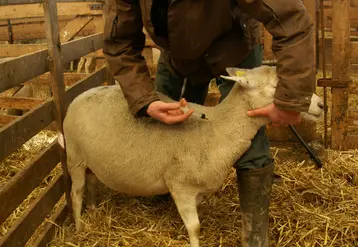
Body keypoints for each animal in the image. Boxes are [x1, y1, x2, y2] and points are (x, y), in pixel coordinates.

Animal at [61, 64, 324, 246]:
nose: (321, 105)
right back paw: (80, 227)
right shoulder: (181, 185)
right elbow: (195, 227)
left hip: (90, 159)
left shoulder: (197, 190)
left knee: (92, 182)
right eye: (276, 87)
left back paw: (94, 208)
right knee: (76, 193)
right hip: (74, 156)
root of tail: (80, 94)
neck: (215, 128)